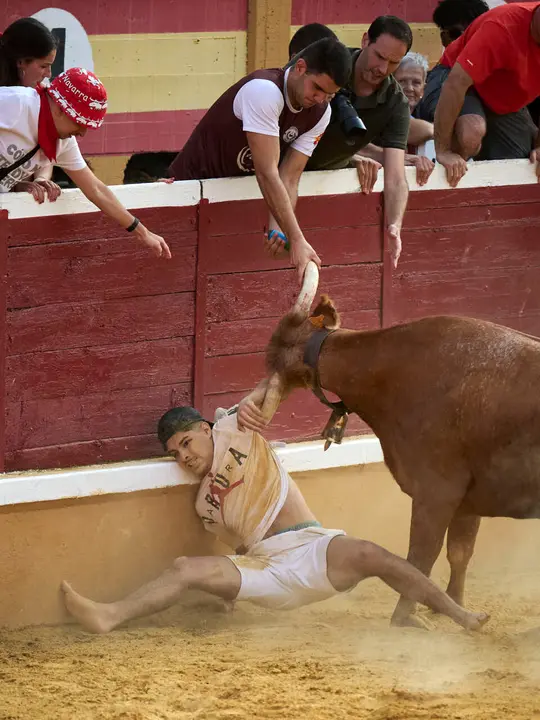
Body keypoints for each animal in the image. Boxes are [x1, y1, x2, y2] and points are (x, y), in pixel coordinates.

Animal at [251, 261, 540, 628]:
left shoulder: (435, 491)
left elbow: (419, 558)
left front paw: (404, 618)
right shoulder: (466, 500)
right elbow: (458, 552)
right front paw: (450, 605)